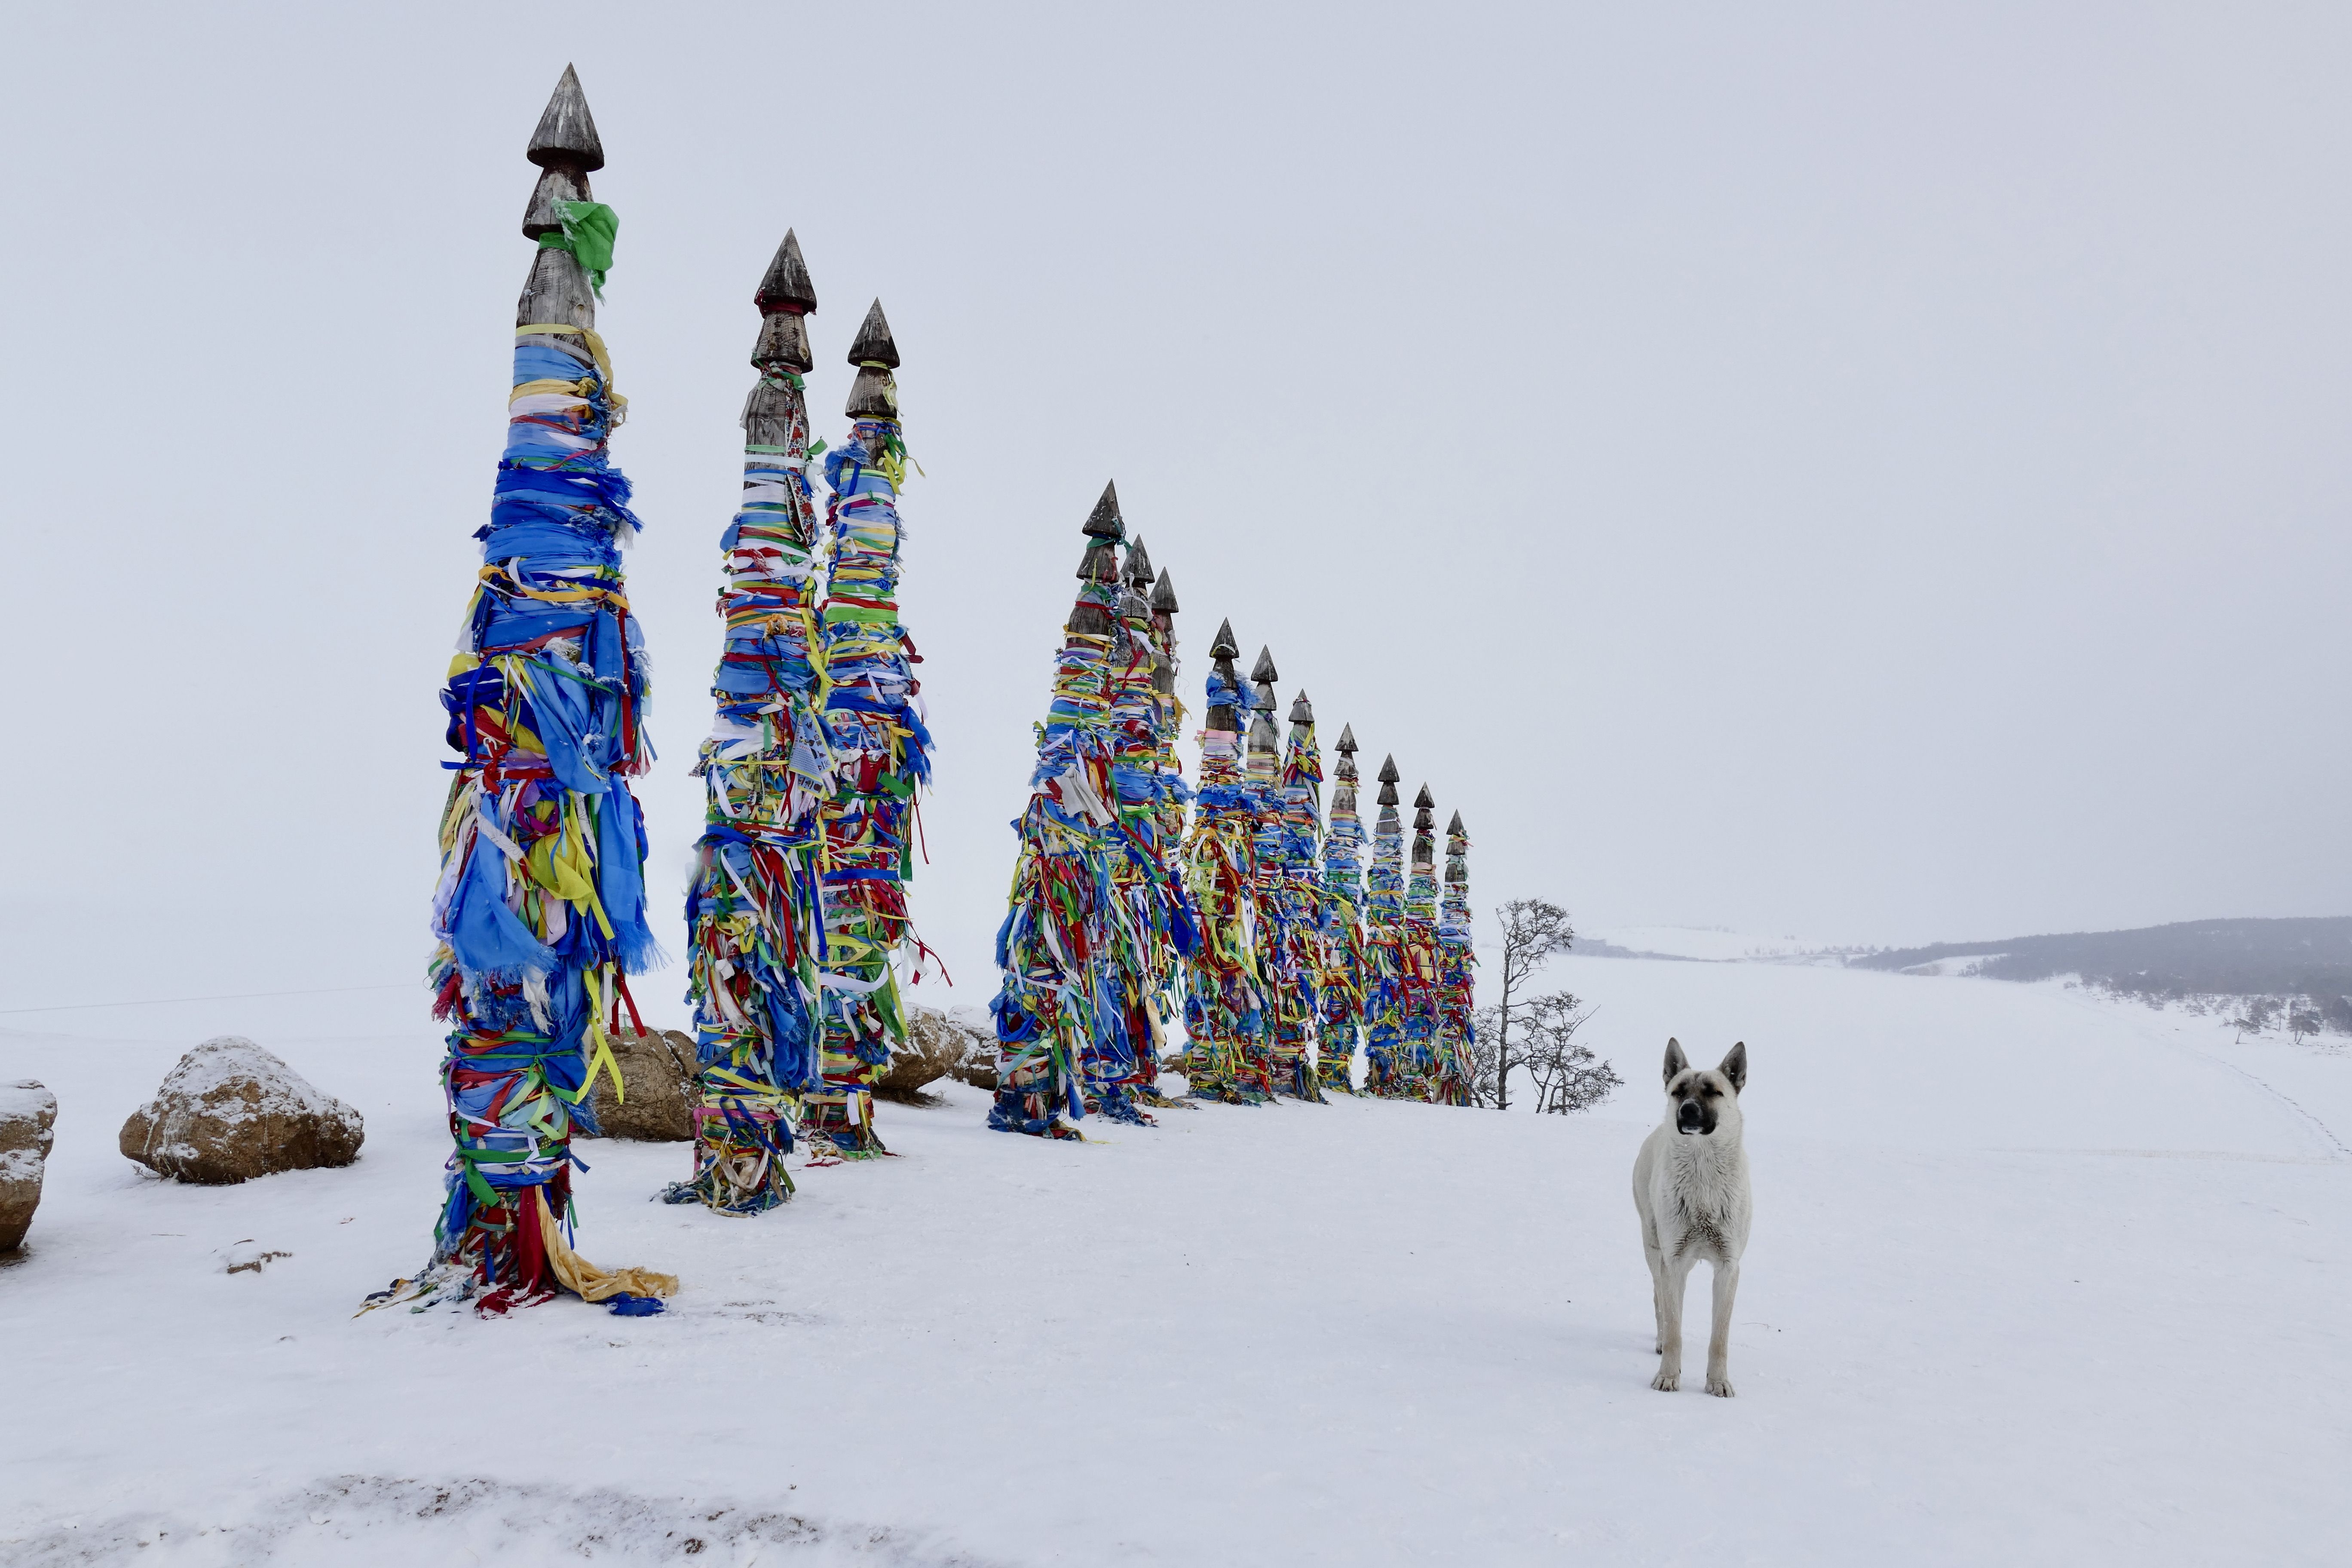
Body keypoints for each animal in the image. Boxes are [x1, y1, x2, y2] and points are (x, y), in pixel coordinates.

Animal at [1637, 1044, 1750, 1401]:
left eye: (1714, 1092)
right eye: (1678, 1091)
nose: (1687, 1111)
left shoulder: (1728, 1267)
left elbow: (1720, 1338)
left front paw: (1718, 1382)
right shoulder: (1673, 1262)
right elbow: (1675, 1329)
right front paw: (1668, 1377)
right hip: (1654, 1248)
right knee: (1659, 1300)